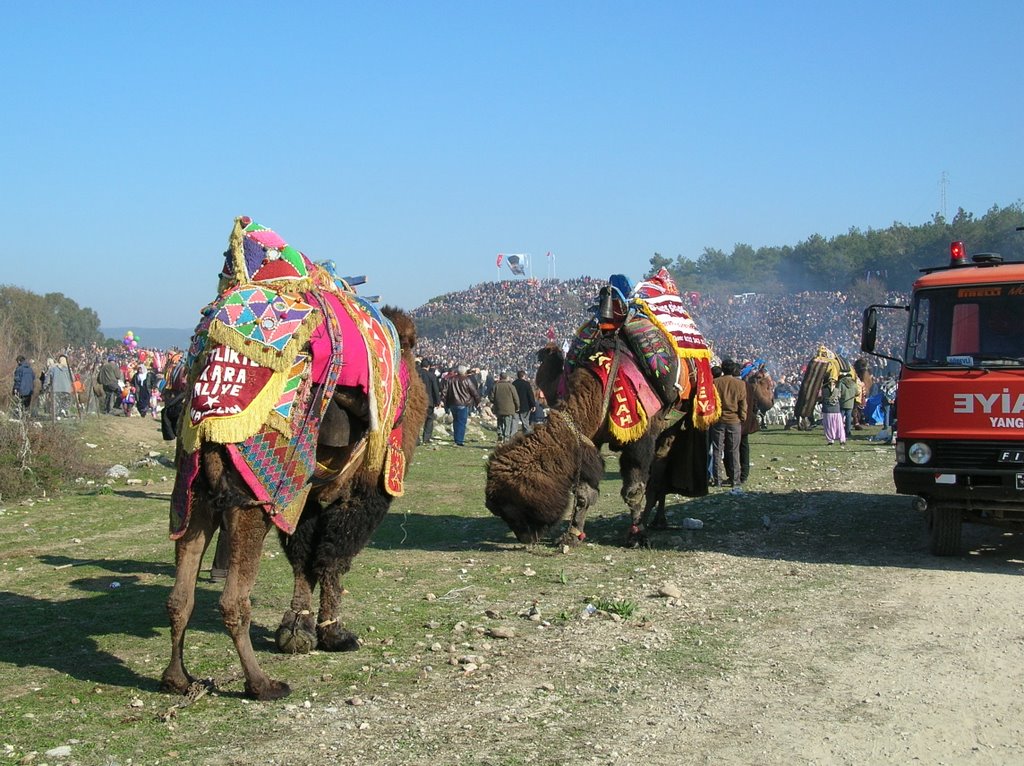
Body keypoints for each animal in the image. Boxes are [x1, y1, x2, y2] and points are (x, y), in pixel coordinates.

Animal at [159, 217, 423, 700]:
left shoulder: (304, 493)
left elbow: (305, 557)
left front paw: (296, 632)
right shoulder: (360, 493)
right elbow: (332, 559)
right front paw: (334, 634)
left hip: (195, 492)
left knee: (179, 594)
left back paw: (177, 678)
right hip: (252, 500)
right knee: (233, 601)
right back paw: (261, 684)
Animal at [485, 268, 720, 544]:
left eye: (511, 505)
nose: (524, 537)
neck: (600, 386)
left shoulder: (639, 437)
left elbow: (633, 490)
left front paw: (637, 534)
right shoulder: (590, 440)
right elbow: (584, 493)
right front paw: (572, 534)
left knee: (659, 469)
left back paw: (655, 521)